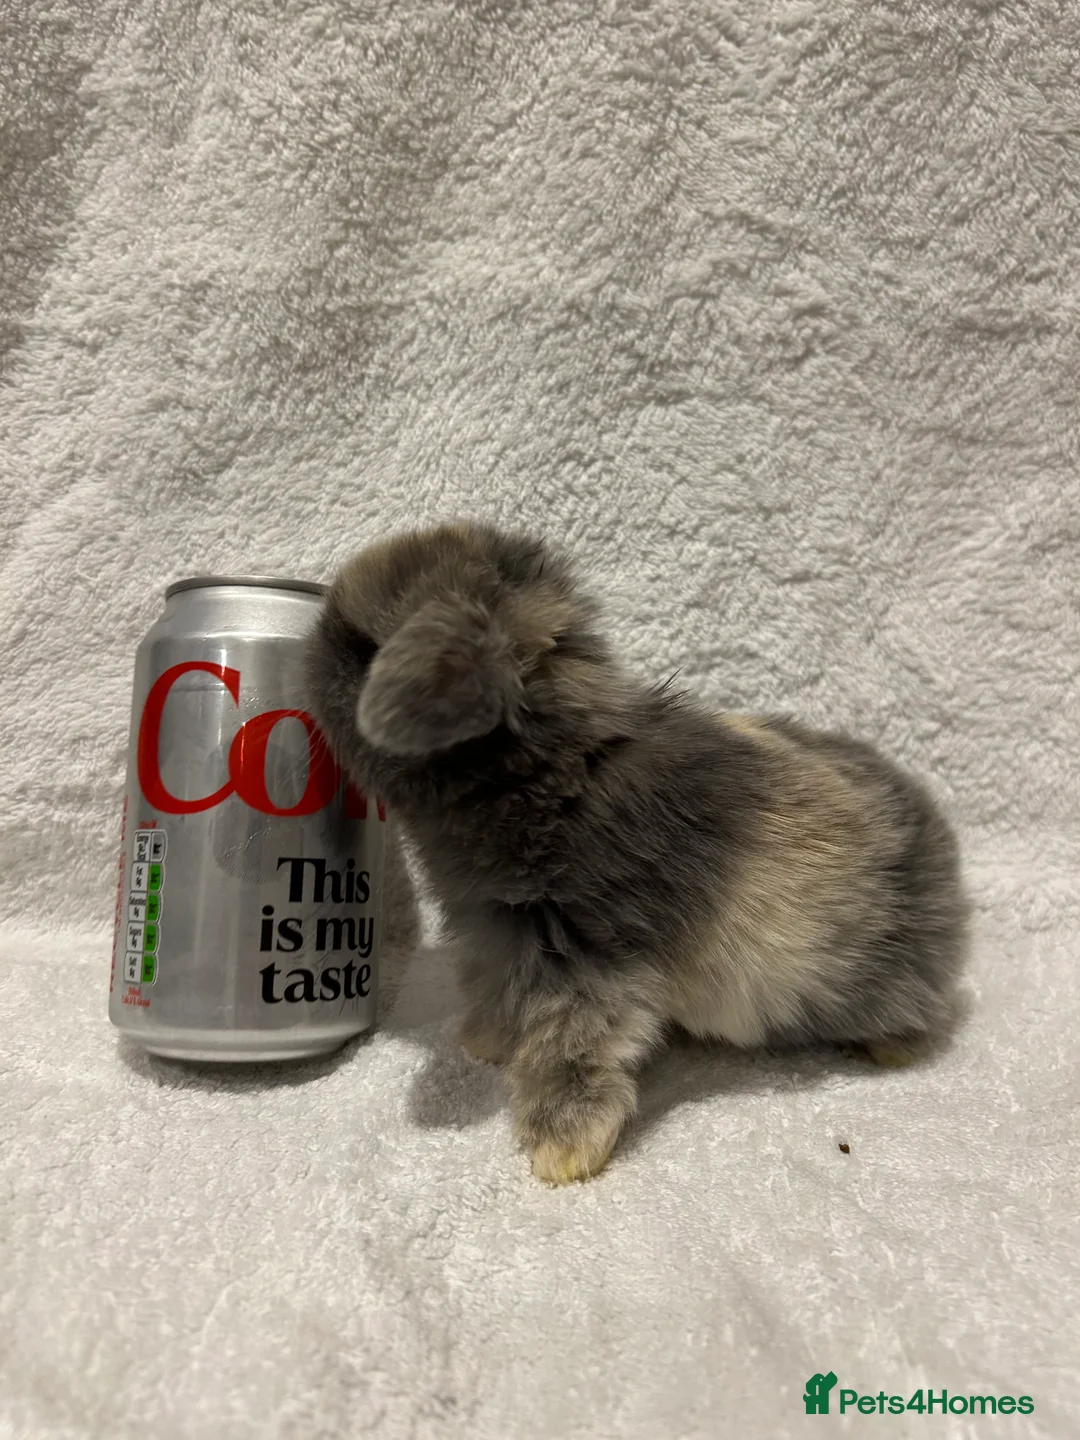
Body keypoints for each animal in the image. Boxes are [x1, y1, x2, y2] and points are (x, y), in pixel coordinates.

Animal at [305, 521, 969, 1184]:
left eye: (363, 648)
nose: (310, 652)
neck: (547, 772)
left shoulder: (587, 964)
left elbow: (570, 1052)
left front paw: (562, 1152)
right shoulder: (499, 936)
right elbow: (498, 995)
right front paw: (485, 1044)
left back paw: (892, 1049)